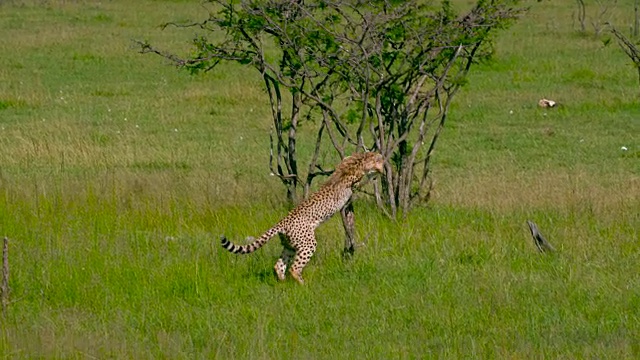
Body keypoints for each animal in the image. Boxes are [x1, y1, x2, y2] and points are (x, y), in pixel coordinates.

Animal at [220, 152, 382, 284]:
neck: (358, 161)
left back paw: (283, 283)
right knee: (294, 268)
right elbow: (362, 179)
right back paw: (303, 284)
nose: (383, 164)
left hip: (290, 245)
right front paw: (374, 171)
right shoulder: (354, 180)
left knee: (279, 265)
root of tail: (282, 221)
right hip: (308, 244)